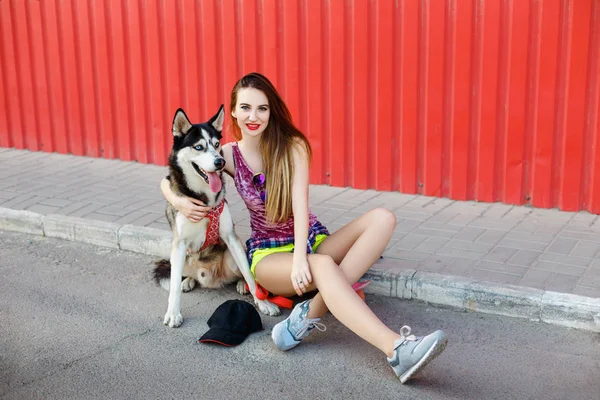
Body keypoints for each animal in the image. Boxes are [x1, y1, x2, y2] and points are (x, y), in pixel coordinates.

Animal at [152, 107, 278, 328]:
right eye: (199, 147)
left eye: (217, 145)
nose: (220, 162)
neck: (204, 200)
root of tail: (211, 279)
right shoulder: (180, 243)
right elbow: (173, 284)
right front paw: (173, 313)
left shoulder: (230, 237)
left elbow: (250, 274)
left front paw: (262, 303)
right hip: (179, 255)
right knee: (180, 274)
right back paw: (188, 281)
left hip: (233, 255)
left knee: (240, 271)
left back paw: (240, 285)